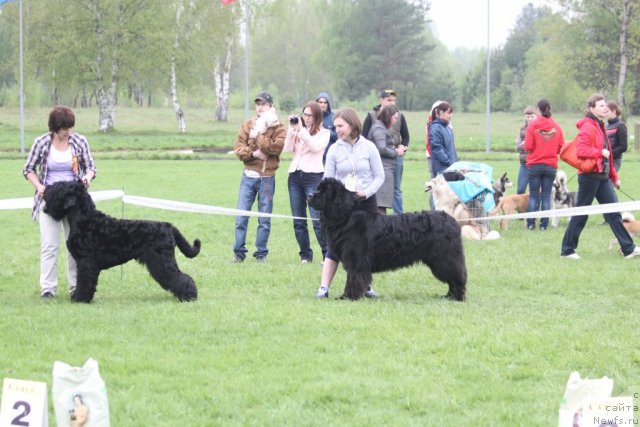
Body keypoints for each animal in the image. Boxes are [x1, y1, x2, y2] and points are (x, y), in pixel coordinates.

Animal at [42, 182, 200, 302]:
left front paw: (81, 298)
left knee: (182, 277)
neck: (85, 219)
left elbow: (84, 281)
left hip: (162, 261)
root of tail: (168, 226)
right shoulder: (83, 262)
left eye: (59, 188)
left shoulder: (86, 262)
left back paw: (190, 296)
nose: (45, 190)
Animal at [308, 179, 468, 302]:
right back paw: (449, 296)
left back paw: (457, 297)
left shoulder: (356, 260)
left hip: (444, 258)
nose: (309, 195)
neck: (346, 216)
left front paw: (348, 297)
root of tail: (452, 221)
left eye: (324, 191)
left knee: (456, 276)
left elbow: (354, 278)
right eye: (318, 189)